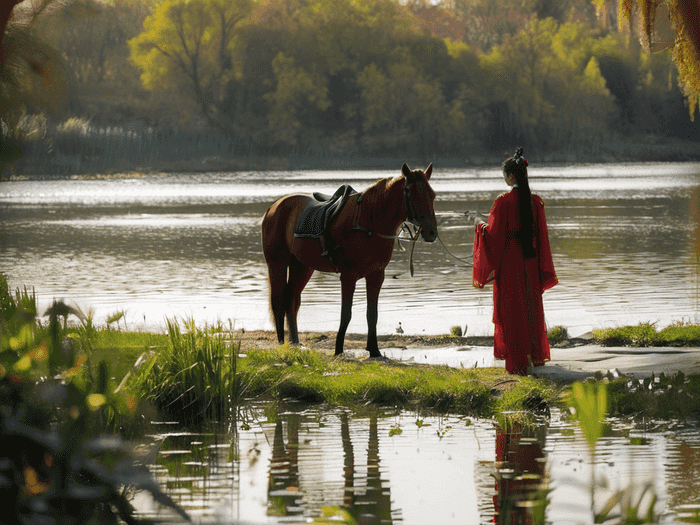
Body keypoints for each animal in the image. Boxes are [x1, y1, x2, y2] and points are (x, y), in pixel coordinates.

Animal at [262, 164, 438, 356]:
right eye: (412, 194)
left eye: (432, 195)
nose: (431, 232)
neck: (368, 220)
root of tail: (274, 207)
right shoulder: (348, 276)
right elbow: (346, 314)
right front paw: (338, 349)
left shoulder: (376, 275)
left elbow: (372, 313)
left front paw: (374, 350)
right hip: (277, 263)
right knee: (278, 301)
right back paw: (282, 343)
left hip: (302, 266)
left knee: (292, 300)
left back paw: (294, 342)